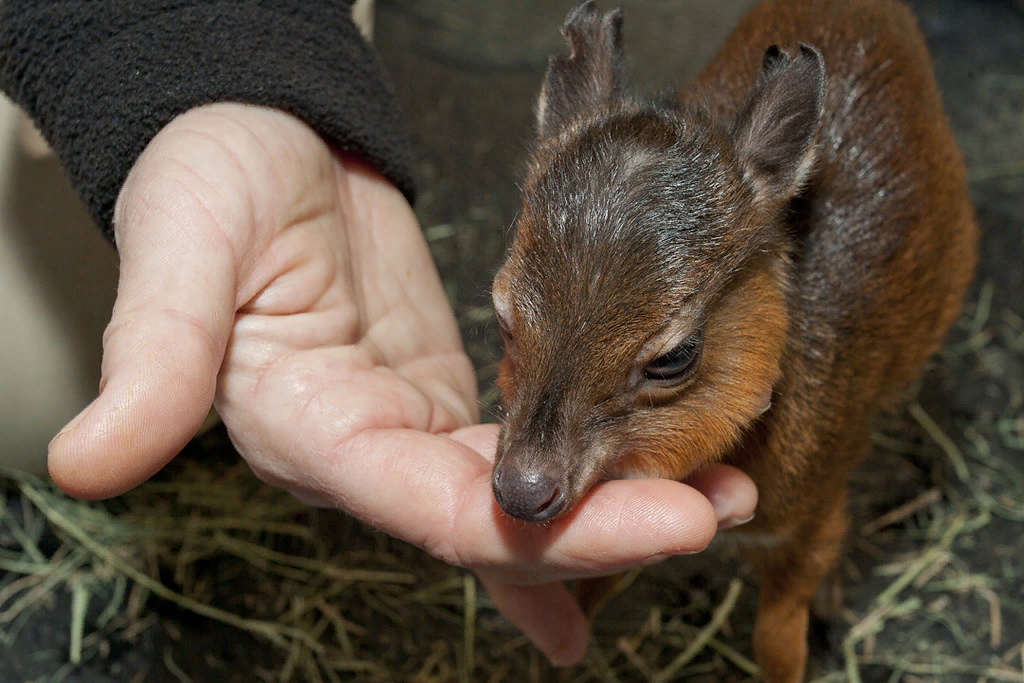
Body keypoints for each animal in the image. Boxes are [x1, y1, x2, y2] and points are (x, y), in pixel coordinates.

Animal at [491, 0, 978, 679]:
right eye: (503, 315)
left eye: (673, 357)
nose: (523, 489)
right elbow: (589, 596)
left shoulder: (807, 520)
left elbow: (777, 642)